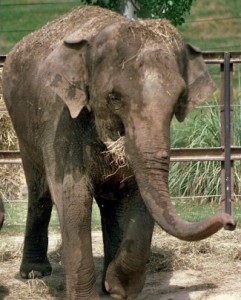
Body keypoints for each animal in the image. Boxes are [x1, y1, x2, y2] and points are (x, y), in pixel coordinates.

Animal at [1, 4, 235, 300]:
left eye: (178, 101)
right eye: (113, 97)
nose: (230, 222)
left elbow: (137, 193)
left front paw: (118, 288)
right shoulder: (60, 119)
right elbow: (73, 194)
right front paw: (91, 296)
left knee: (111, 205)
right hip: (23, 128)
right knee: (40, 190)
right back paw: (34, 273)